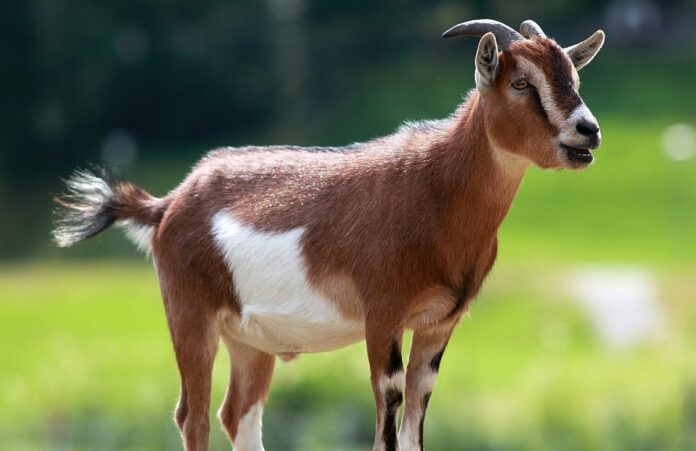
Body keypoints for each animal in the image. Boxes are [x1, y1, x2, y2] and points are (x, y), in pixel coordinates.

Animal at [52, 19, 605, 451]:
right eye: (520, 83)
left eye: (574, 76)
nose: (588, 131)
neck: (434, 189)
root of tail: (167, 205)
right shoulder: (382, 314)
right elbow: (387, 413)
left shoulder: (439, 322)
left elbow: (416, 418)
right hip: (190, 312)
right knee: (194, 415)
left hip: (248, 338)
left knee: (237, 413)